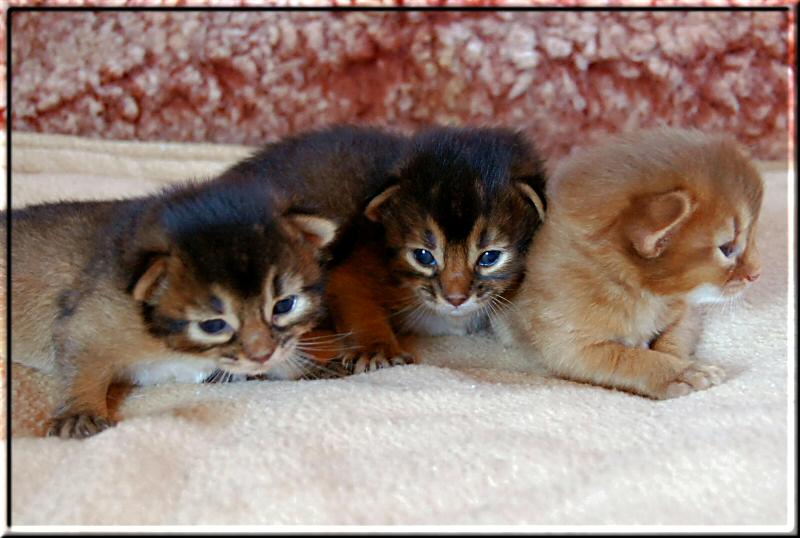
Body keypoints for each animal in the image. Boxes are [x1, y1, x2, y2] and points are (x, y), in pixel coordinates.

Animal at [6, 176, 338, 436]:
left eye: (284, 305)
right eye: (213, 325)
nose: (261, 355)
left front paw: (308, 368)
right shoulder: (88, 321)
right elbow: (81, 366)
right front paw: (79, 411)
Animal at [328, 124, 548, 372]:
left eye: (490, 257)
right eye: (423, 256)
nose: (456, 299)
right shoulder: (350, 269)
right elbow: (360, 307)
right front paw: (375, 350)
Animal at [500, 126, 764, 398]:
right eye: (727, 248)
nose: (757, 273)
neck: (641, 294)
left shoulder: (686, 313)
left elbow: (674, 338)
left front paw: (679, 362)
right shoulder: (571, 348)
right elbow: (629, 359)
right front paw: (678, 372)